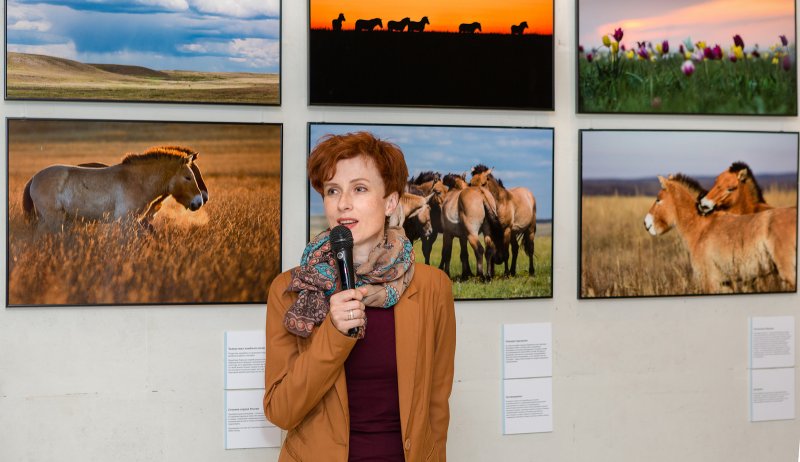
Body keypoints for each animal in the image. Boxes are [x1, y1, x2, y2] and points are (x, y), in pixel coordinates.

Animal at [23, 146, 205, 232]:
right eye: (188, 177)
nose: (199, 201)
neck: (137, 181)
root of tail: (34, 178)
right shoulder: (126, 220)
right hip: (54, 219)